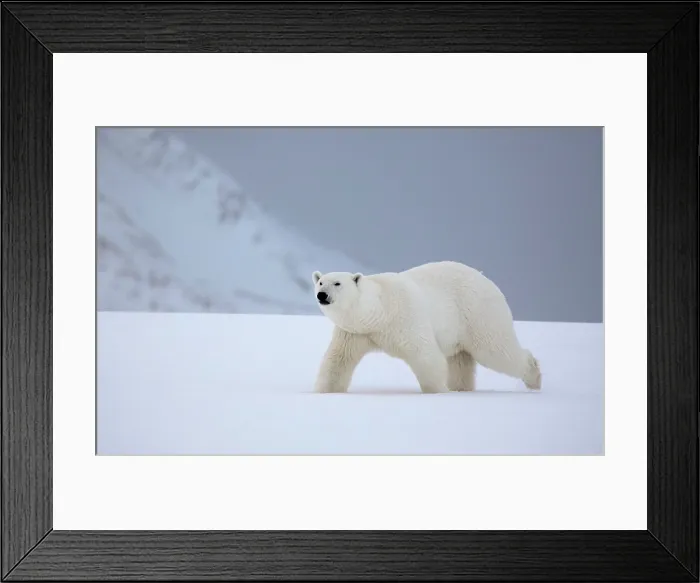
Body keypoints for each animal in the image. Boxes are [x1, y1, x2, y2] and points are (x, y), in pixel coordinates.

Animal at [311, 260, 541, 394]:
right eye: (321, 282)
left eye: (337, 283)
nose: (322, 295)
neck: (379, 312)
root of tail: (488, 280)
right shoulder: (355, 332)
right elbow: (338, 360)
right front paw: (326, 391)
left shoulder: (405, 320)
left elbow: (425, 355)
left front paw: (437, 391)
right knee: (460, 359)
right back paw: (460, 388)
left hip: (478, 314)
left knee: (496, 350)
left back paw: (534, 379)